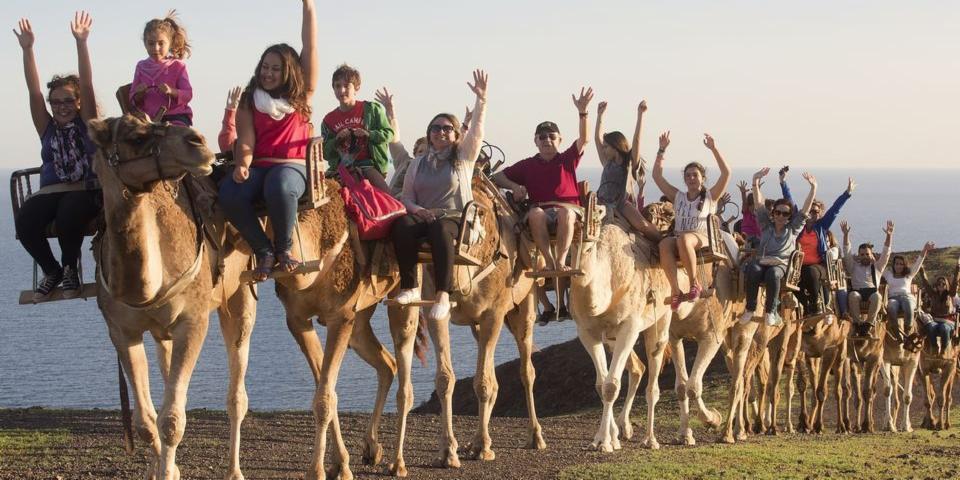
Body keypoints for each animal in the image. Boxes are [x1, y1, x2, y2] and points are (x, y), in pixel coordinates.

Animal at [86, 114, 256, 478]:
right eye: (136, 137)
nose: (198, 142)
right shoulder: (121, 331)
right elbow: (146, 422)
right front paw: (165, 468)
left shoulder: (192, 321)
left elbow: (172, 421)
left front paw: (168, 469)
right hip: (162, 331)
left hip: (240, 293)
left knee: (237, 393)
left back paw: (234, 470)